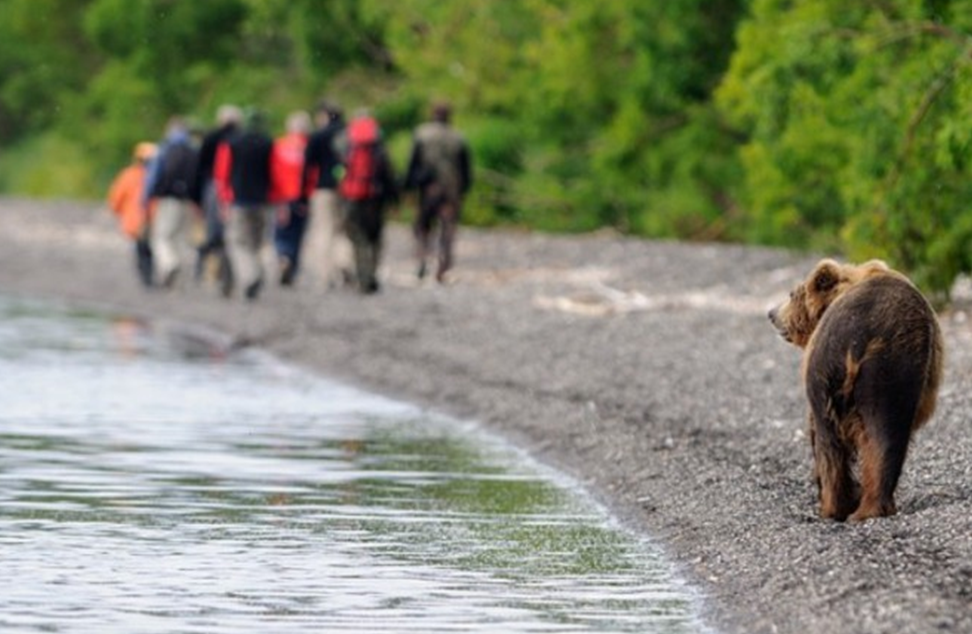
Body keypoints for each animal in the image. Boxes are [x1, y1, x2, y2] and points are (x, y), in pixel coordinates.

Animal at [768, 256, 940, 520]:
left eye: (791, 293)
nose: (771, 313)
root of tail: (858, 339)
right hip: (895, 370)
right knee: (886, 436)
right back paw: (873, 506)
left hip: (832, 370)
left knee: (828, 439)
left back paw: (834, 506)